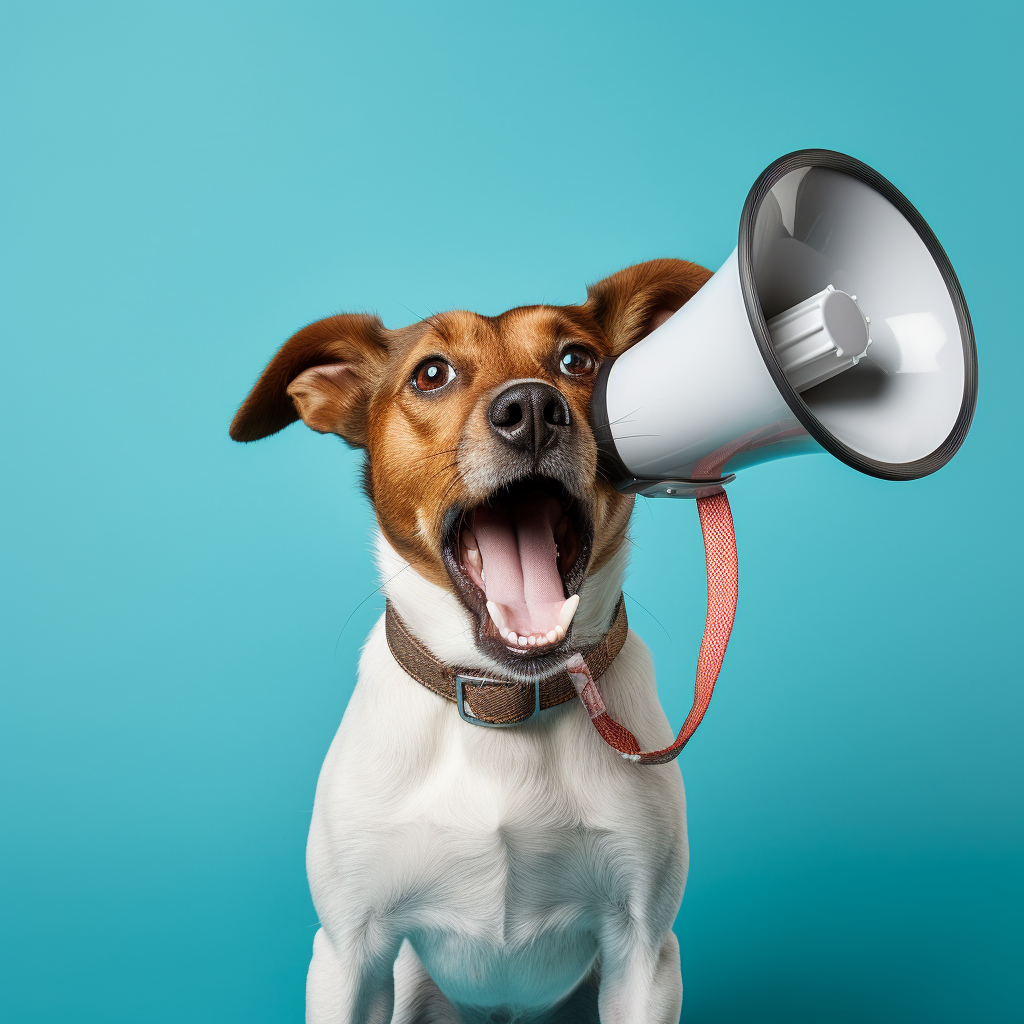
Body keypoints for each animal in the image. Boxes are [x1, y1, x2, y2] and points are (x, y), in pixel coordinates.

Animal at [231, 256, 712, 1024]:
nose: (534, 411)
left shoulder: (644, 952)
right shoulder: (348, 954)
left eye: (577, 361)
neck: (505, 700)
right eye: (432, 374)